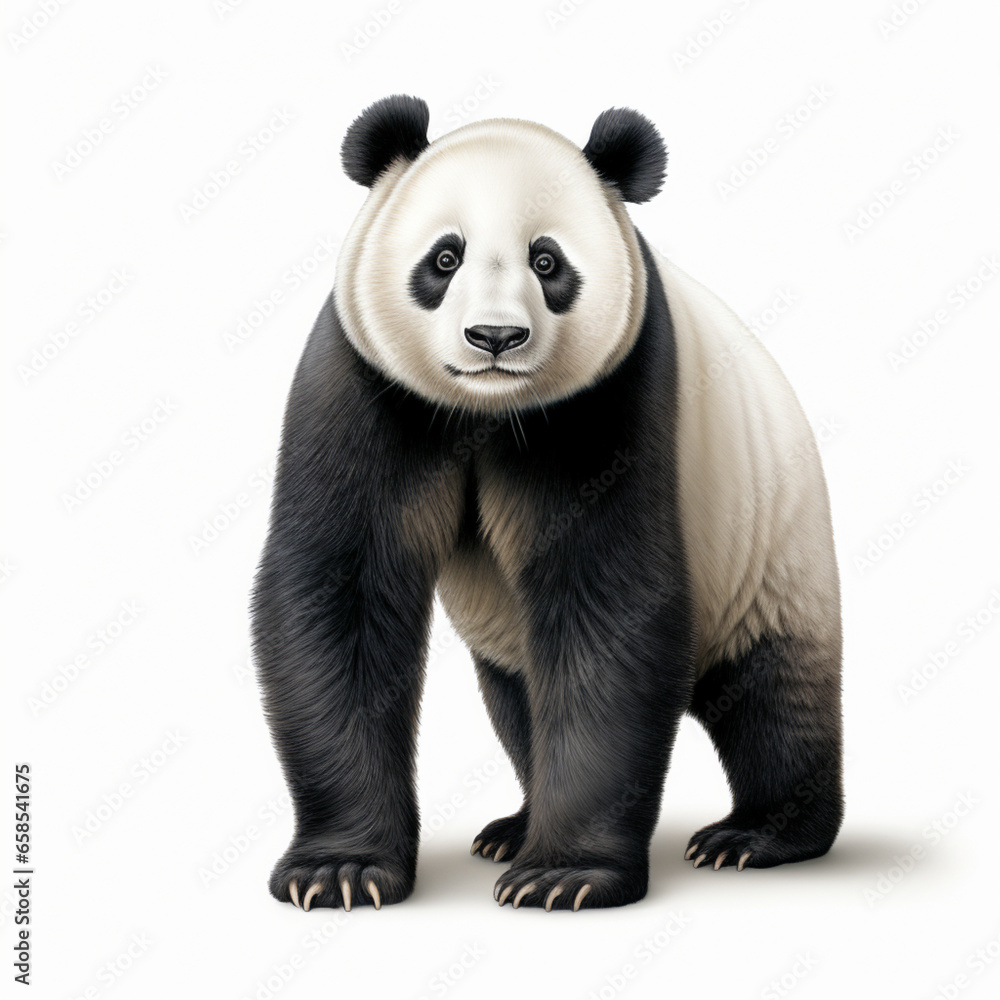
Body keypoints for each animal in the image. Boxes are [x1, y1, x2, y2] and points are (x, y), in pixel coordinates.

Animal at [252, 95, 843, 913]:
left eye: (547, 261)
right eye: (444, 258)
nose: (495, 337)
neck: (488, 412)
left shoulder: (611, 396)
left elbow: (608, 604)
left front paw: (565, 877)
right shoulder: (365, 380)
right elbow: (342, 590)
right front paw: (339, 870)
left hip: (770, 545)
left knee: (773, 697)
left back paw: (755, 836)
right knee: (521, 700)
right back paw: (513, 828)